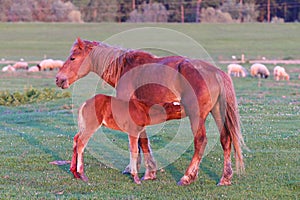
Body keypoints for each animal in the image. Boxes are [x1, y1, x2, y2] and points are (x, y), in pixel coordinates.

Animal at [55, 38, 244, 186]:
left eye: (72, 58)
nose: (58, 79)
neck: (124, 68)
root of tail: (216, 72)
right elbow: (141, 142)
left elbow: (142, 142)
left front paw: (146, 172)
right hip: (218, 113)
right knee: (225, 139)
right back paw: (225, 178)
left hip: (197, 117)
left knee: (200, 141)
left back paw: (187, 177)